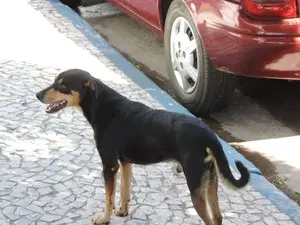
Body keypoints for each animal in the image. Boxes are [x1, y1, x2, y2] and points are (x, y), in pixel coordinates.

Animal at [36, 69, 250, 225]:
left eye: (62, 84)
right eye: (56, 81)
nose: (37, 95)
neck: (101, 105)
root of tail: (209, 134)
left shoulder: (109, 165)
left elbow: (108, 198)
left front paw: (104, 219)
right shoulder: (124, 163)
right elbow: (124, 192)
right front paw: (122, 212)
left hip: (196, 186)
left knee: (210, 220)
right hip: (211, 180)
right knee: (218, 217)